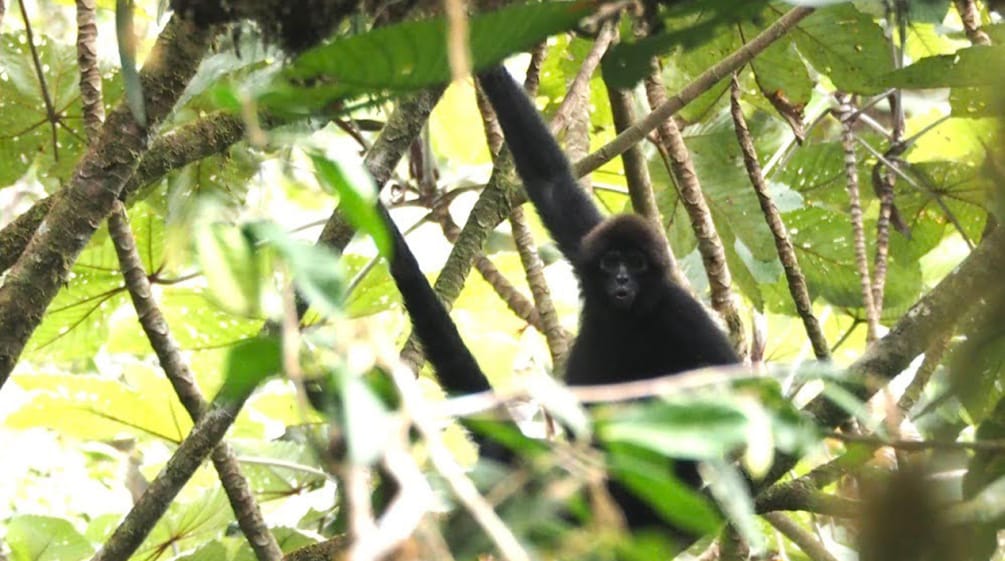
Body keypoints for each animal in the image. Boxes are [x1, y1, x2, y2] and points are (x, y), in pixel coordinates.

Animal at [377, 65, 739, 546]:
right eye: (612, 262)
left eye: (638, 264)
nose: (622, 280)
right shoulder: (588, 238)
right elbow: (551, 182)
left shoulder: (678, 310)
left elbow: (735, 384)